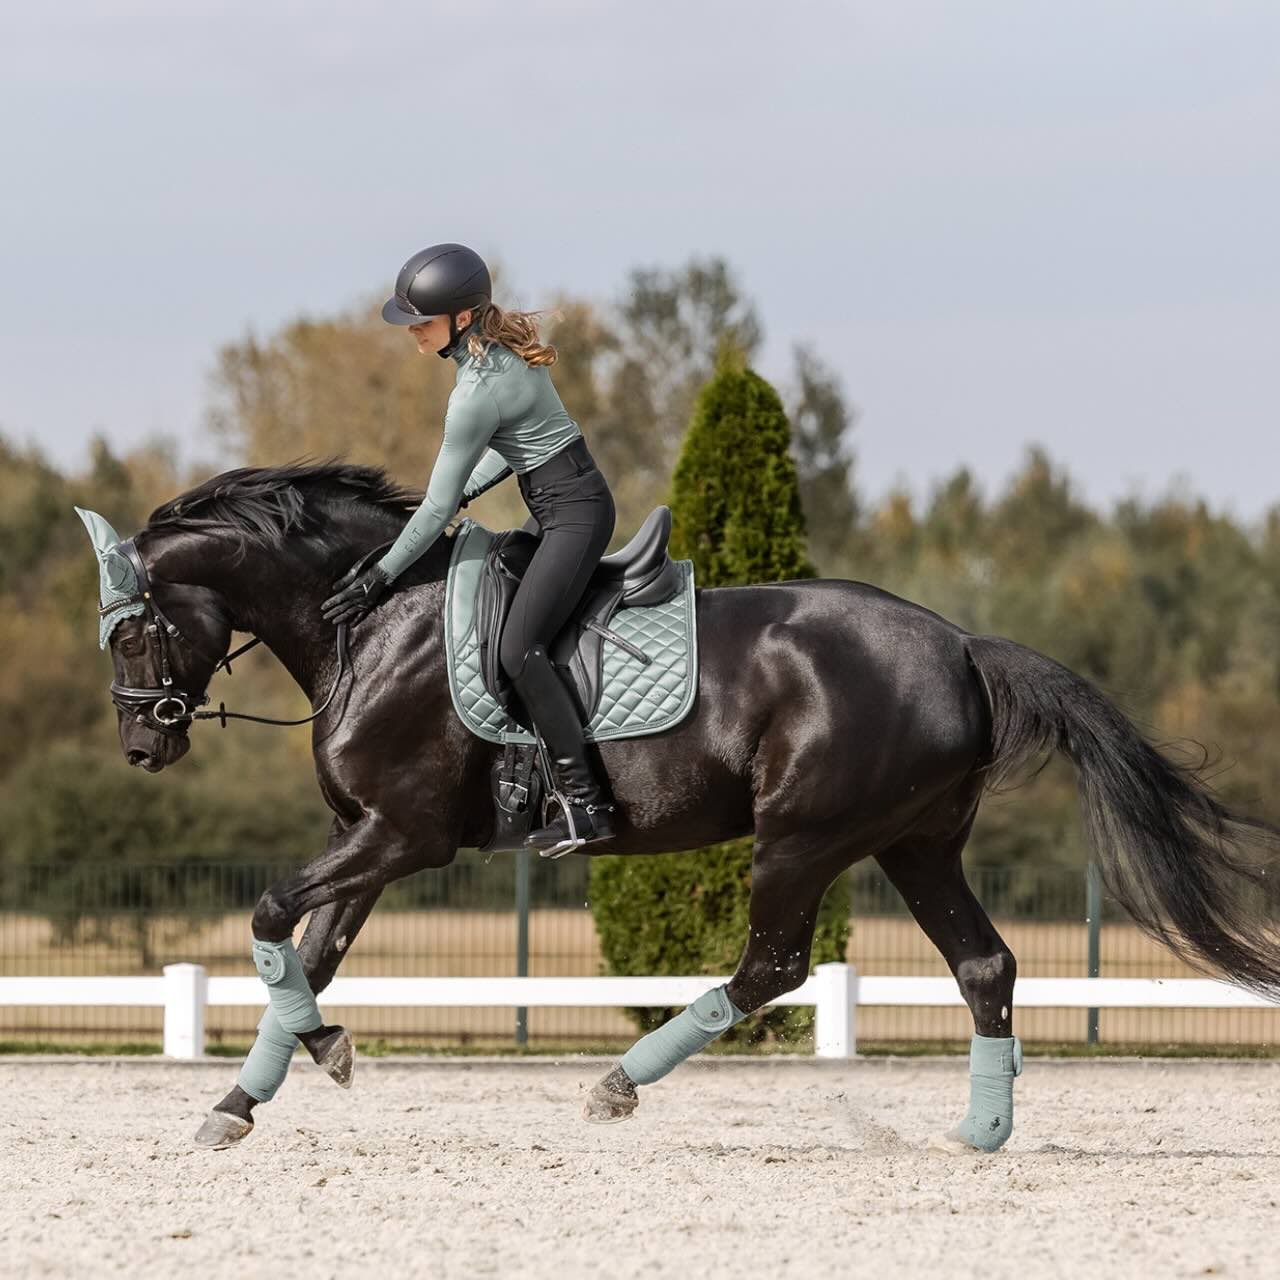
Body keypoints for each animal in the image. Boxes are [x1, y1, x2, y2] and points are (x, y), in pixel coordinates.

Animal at [79, 461, 1280, 1151]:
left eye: (132, 631)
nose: (142, 744)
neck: (365, 617)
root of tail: (959, 644)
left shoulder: (401, 836)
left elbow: (273, 918)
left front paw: (316, 1055)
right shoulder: (361, 837)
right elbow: (310, 950)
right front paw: (243, 1100)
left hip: (803, 836)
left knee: (774, 967)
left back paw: (618, 1085)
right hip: (914, 843)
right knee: (983, 964)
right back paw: (980, 1130)